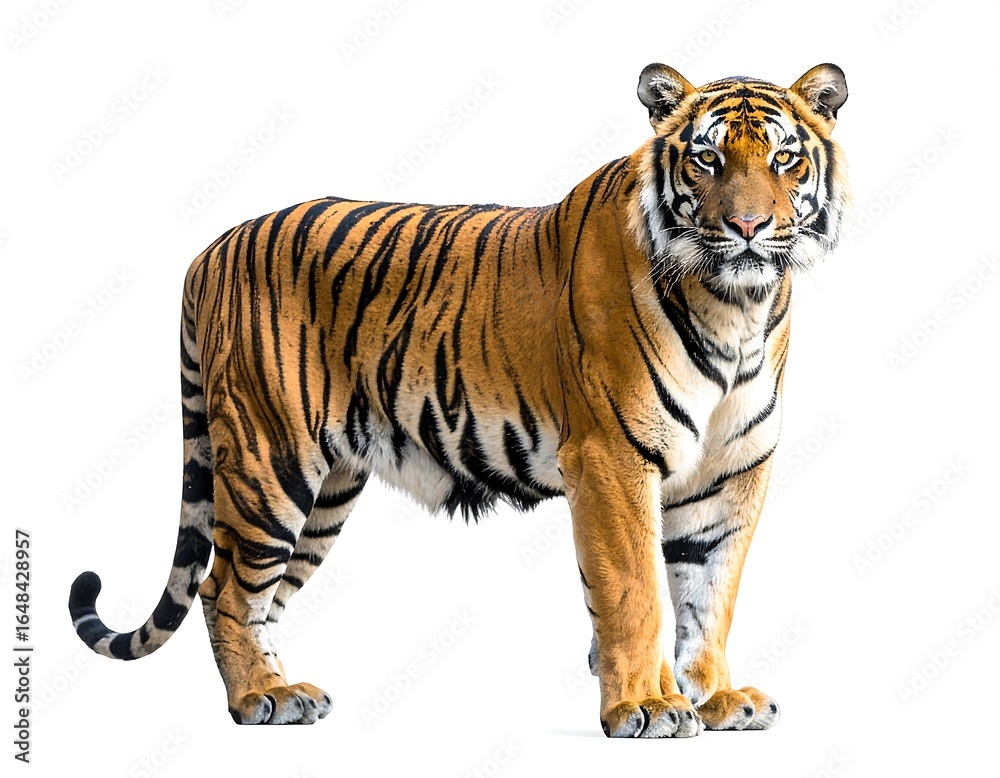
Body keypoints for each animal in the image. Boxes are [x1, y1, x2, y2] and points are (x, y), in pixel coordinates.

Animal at [68, 62, 848, 737]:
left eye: (784, 160)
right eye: (707, 160)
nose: (747, 228)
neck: (737, 310)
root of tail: (212, 248)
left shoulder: (731, 472)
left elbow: (709, 594)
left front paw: (715, 699)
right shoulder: (612, 460)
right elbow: (636, 593)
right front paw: (647, 707)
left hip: (326, 491)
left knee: (263, 595)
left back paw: (285, 691)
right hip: (271, 461)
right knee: (224, 589)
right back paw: (258, 698)